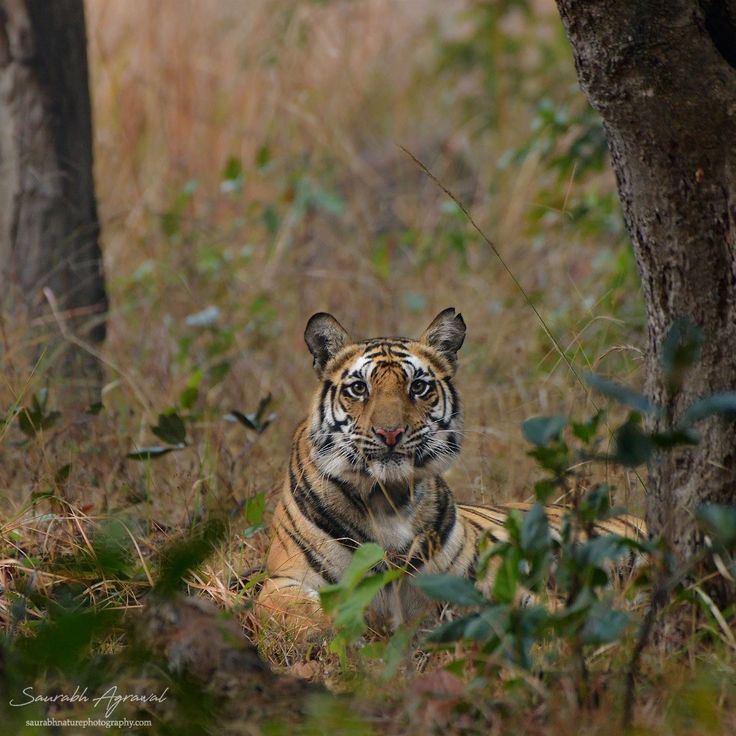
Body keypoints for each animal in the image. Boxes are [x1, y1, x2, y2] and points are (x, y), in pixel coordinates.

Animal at [256, 309, 646, 639]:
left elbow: (536, 610)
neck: (388, 498)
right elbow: (310, 616)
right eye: (359, 388)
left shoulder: (478, 581)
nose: (389, 433)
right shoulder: (283, 580)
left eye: (418, 387)